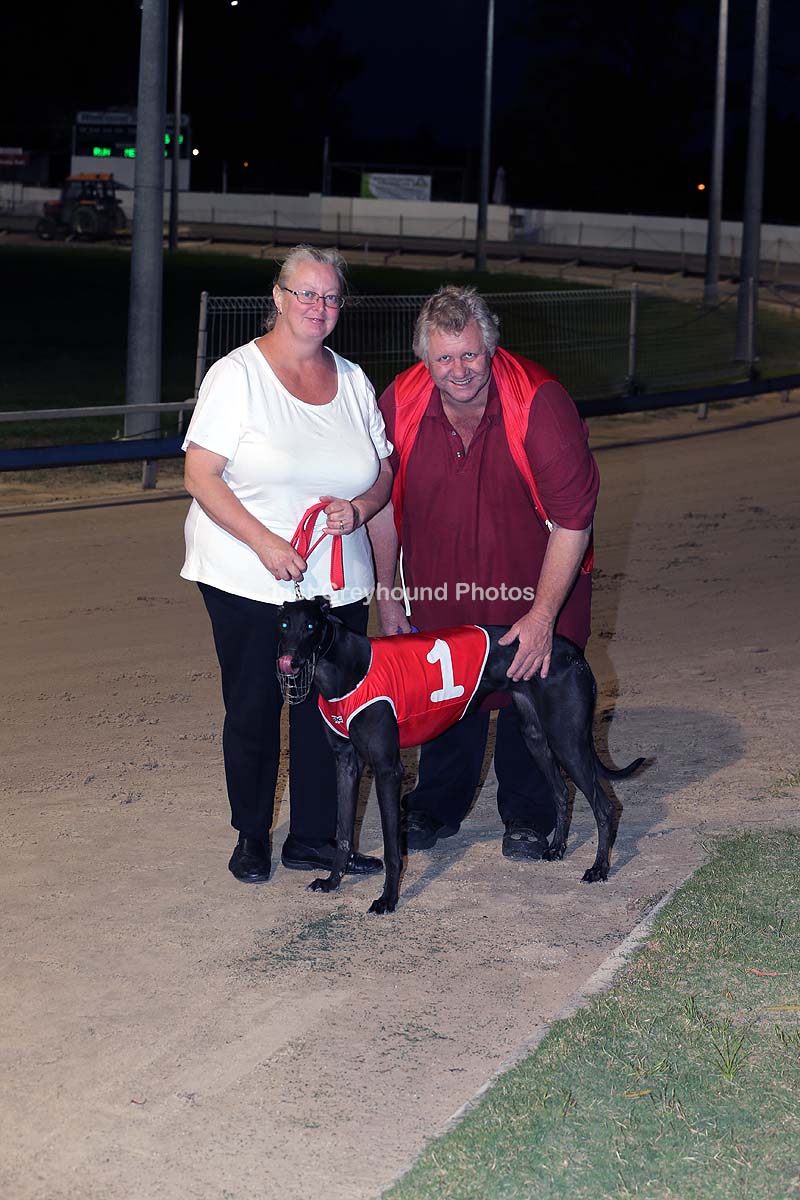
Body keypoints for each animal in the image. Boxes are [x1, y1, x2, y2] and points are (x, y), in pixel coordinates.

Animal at [276, 597, 644, 914]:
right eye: (283, 624)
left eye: (311, 626)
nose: (287, 661)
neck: (346, 668)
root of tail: (577, 656)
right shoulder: (346, 764)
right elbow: (341, 832)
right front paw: (332, 881)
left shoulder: (387, 769)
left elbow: (393, 847)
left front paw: (388, 899)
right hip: (536, 735)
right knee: (560, 790)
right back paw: (556, 848)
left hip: (567, 739)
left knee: (603, 806)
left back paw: (599, 868)